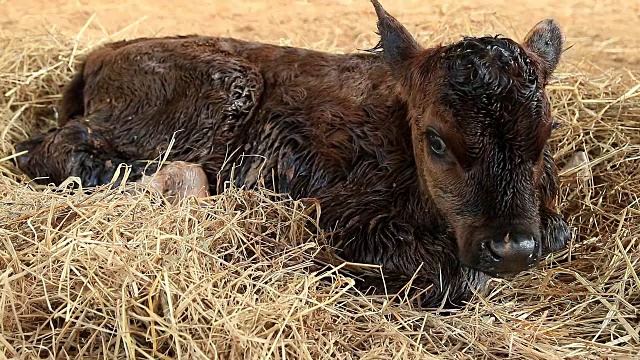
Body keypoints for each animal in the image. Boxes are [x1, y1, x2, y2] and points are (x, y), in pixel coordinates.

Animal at [15, 1, 568, 306]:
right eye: (435, 139)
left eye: (545, 134)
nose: (511, 248)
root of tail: (98, 55)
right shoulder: (341, 215)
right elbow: (451, 277)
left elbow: (556, 234)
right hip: (212, 96)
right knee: (47, 149)